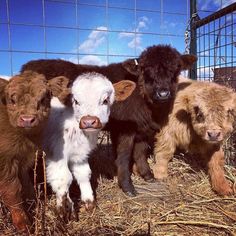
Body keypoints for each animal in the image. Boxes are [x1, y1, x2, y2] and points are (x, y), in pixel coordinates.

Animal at [42, 72, 135, 219]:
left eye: (105, 100)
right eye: (76, 101)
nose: (89, 121)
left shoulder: (80, 154)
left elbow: (84, 174)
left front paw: (89, 204)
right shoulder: (56, 154)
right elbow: (63, 178)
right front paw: (64, 210)